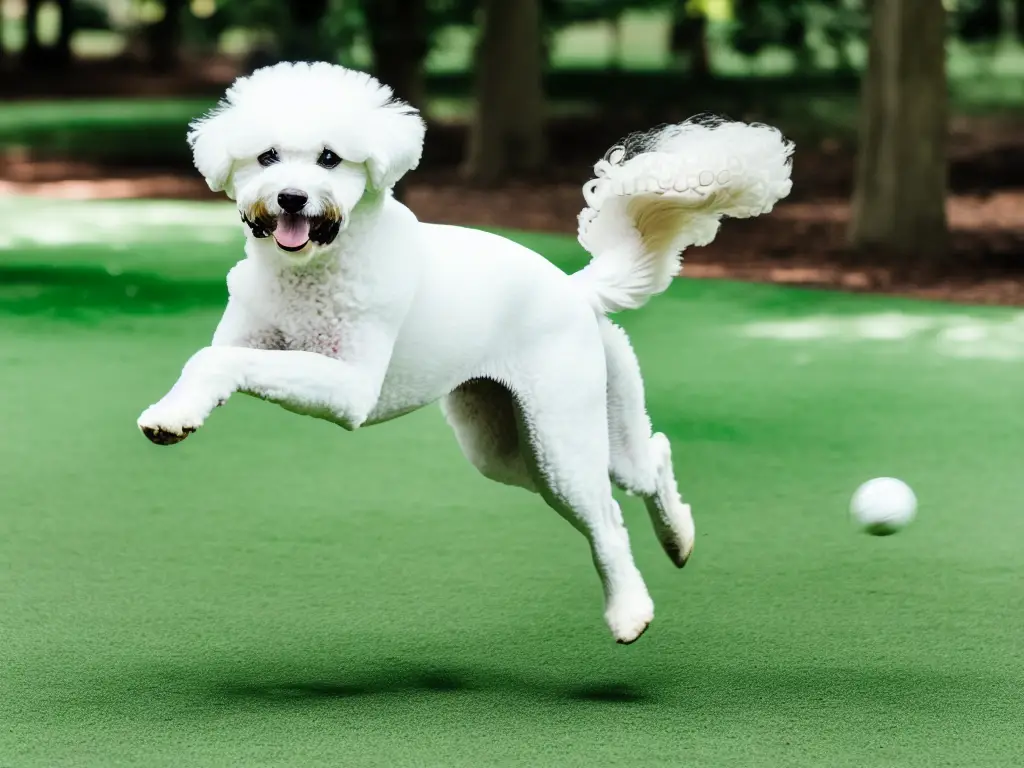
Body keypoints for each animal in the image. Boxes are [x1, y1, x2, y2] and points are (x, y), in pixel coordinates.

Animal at [138, 63, 790, 647]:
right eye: (268, 157)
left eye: (329, 159)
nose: (292, 198)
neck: (312, 271)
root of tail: (576, 288)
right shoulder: (245, 340)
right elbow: (205, 362)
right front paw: (172, 415)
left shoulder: (350, 389)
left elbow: (218, 362)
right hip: (508, 447)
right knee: (649, 457)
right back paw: (679, 537)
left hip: (560, 441)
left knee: (608, 515)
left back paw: (630, 612)